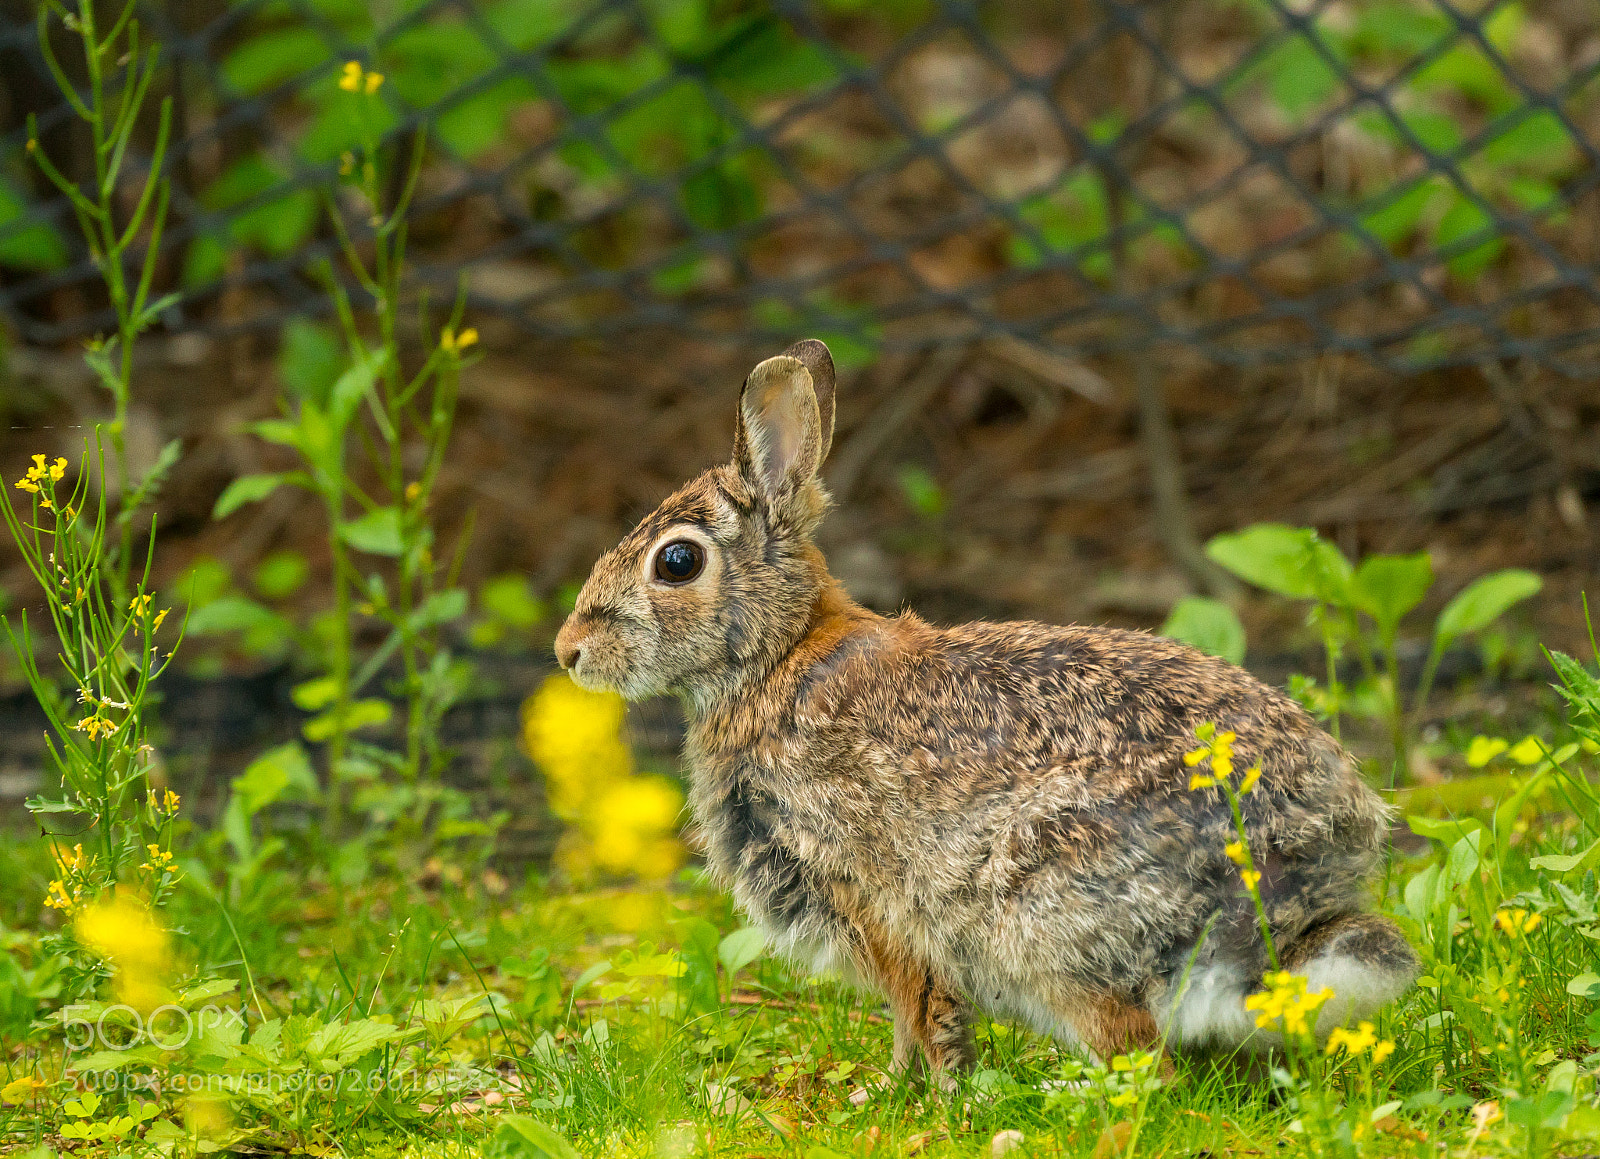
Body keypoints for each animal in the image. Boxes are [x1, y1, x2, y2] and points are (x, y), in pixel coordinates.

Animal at [553, 339, 1417, 1083]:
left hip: (1041, 917)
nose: (569, 649)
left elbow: (919, 1008)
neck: (780, 656)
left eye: (677, 561)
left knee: (1139, 1053)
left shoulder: (871, 895)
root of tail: (1303, 867)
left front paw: (908, 1094)